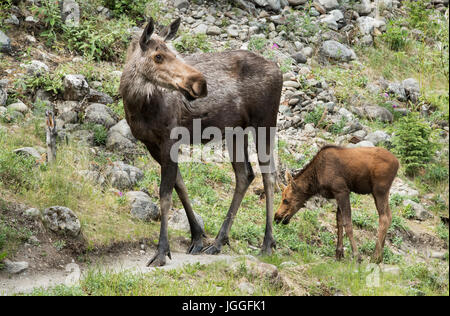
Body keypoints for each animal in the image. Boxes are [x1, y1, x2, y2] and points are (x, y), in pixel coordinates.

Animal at [119, 17, 282, 266]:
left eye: (176, 53)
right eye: (158, 56)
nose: (200, 83)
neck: (138, 106)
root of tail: (279, 69)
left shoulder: (170, 139)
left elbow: (165, 195)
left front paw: (161, 251)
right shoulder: (151, 144)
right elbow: (180, 185)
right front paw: (197, 237)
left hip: (265, 121)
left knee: (269, 175)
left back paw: (267, 243)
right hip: (236, 130)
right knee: (245, 174)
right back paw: (219, 242)